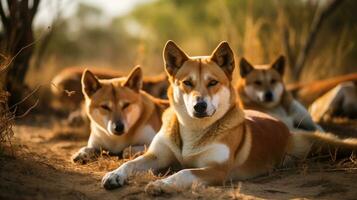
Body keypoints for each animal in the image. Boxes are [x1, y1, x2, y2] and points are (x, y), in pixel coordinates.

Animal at [99, 41, 356, 194]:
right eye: (187, 83)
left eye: (213, 82)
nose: (200, 106)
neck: (193, 131)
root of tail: (283, 127)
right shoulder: (155, 156)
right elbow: (130, 163)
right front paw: (114, 175)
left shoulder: (216, 170)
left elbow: (183, 172)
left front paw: (161, 184)